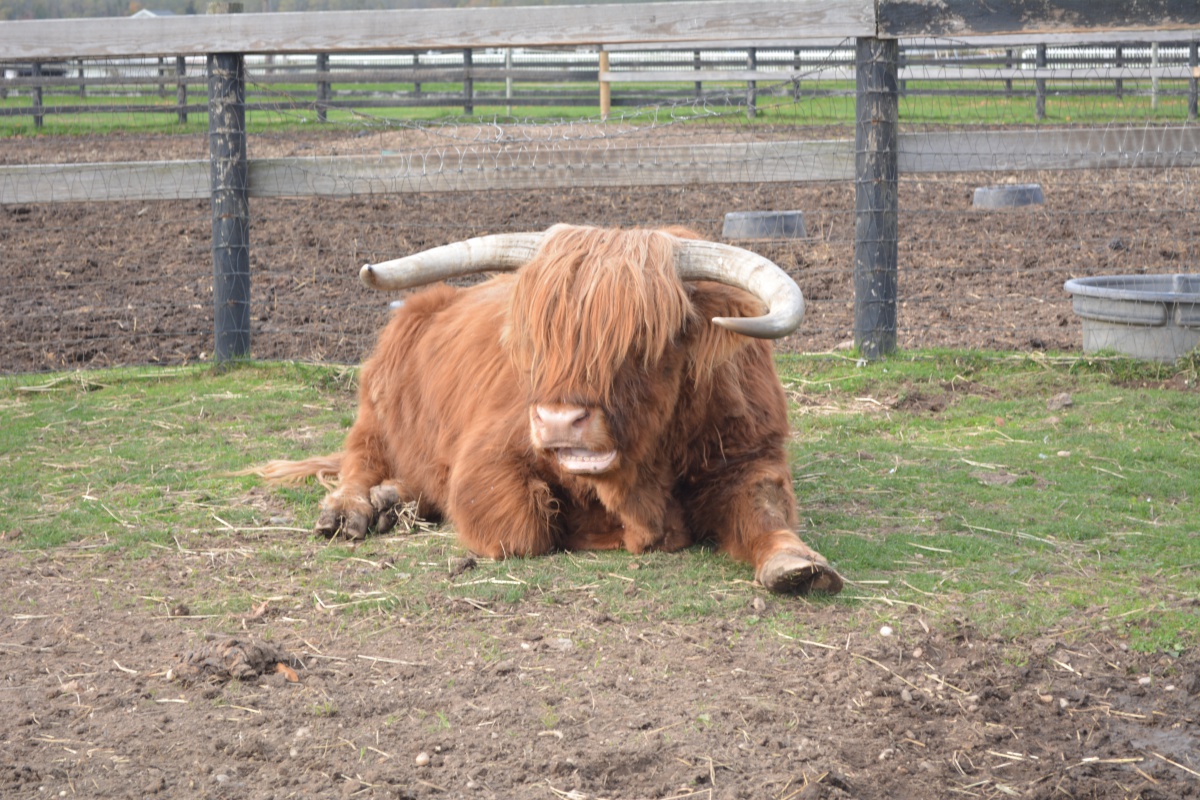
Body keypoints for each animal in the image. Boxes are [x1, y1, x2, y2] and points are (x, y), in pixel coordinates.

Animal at [260, 225, 844, 594]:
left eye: (644, 340)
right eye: (537, 339)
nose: (560, 421)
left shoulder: (751, 456)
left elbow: (764, 510)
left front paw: (797, 564)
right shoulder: (486, 460)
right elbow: (522, 527)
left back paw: (393, 501)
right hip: (374, 413)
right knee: (360, 462)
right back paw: (354, 509)